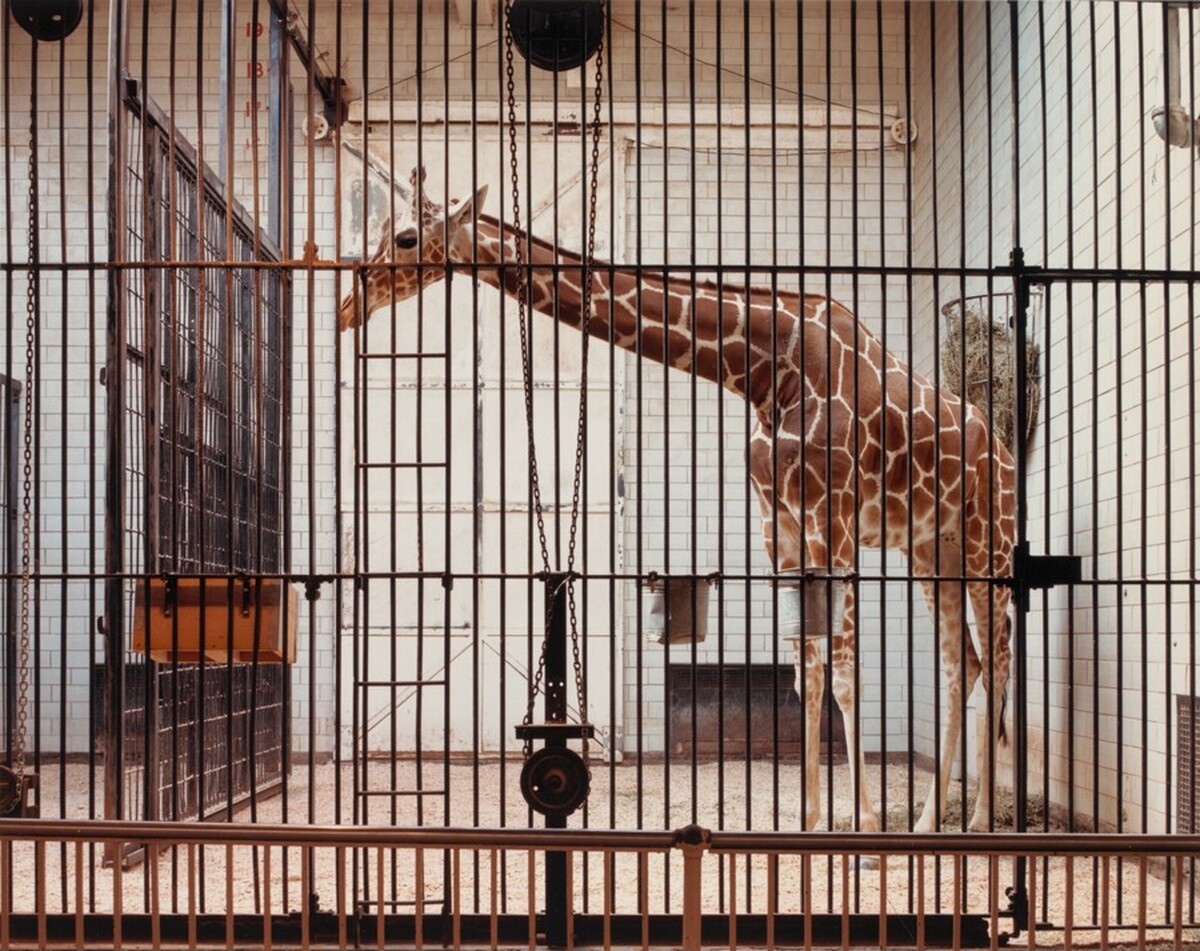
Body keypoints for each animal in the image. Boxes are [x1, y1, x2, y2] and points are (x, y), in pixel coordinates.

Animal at [338, 171, 1016, 834]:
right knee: (963, 664)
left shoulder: (835, 517)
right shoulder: (780, 525)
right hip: (933, 551)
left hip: (990, 542)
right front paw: (809, 823)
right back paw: (931, 823)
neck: (768, 373)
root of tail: (1002, 444)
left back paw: (985, 816)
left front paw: (868, 831)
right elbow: (807, 675)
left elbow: (846, 675)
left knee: (999, 655)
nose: (348, 303)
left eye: (404, 237)